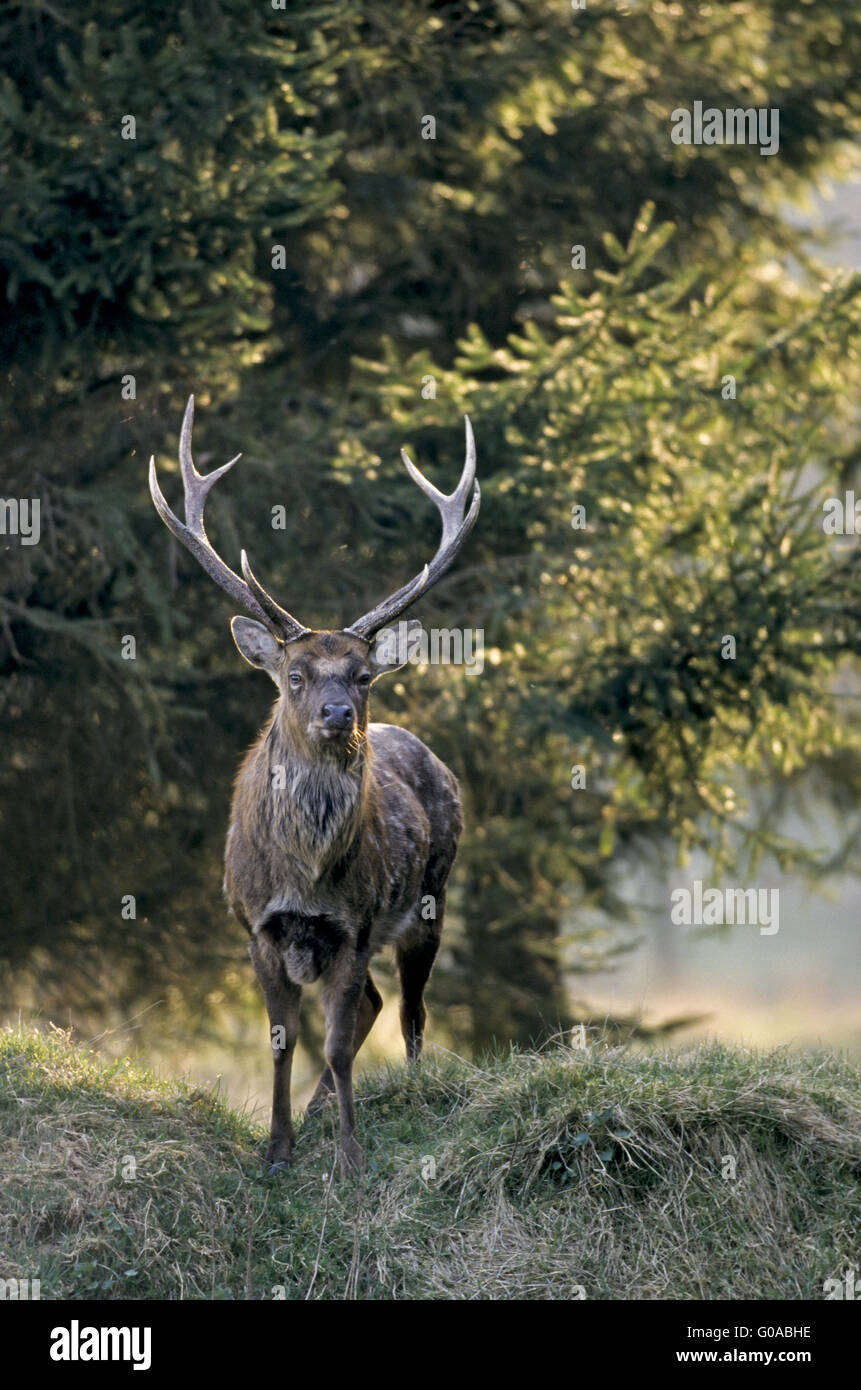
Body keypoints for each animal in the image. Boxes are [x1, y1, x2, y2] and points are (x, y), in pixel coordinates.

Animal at [150, 397, 481, 1178]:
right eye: (295, 674)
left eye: (362, 674)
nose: (338, 714)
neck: (302, 873)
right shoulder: (257, 925)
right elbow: (283, 1041)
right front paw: (277, 1150)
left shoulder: (353, 923)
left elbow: (333, 1038)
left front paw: (349, 1158)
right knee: (373, 1005)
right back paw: (316, 1110)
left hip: (430, 895)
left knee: (409, 1011)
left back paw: (406, 1094)